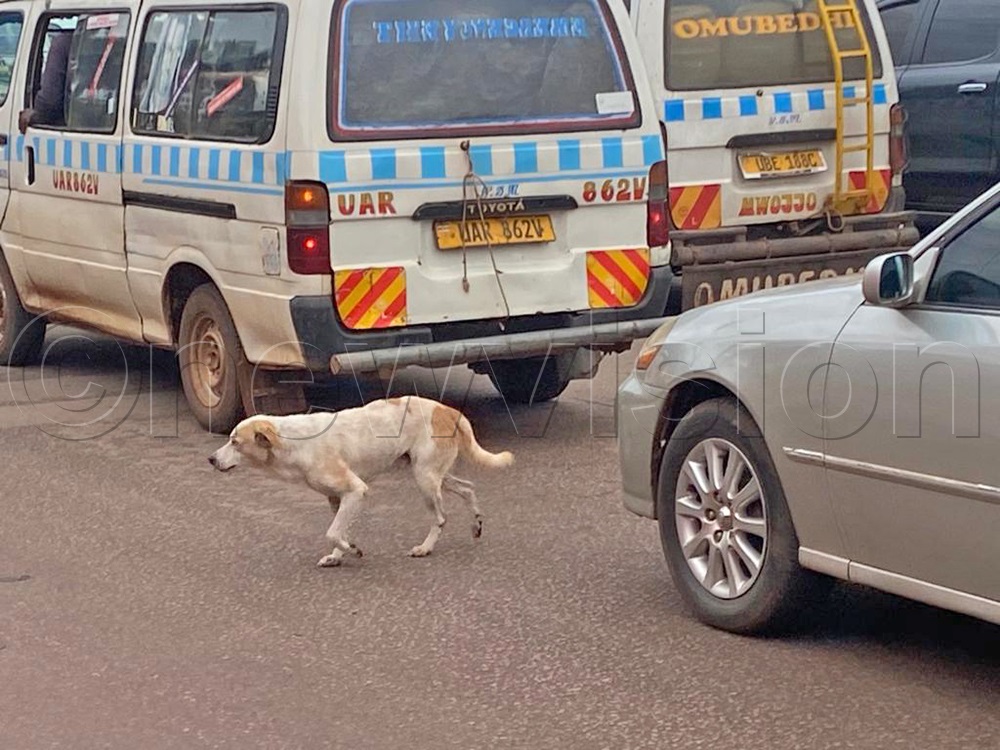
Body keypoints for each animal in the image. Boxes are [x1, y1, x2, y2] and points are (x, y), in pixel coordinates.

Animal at [208, 396, 513, 567]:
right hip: (433, 474)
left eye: (235, 442)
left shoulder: (356, 491)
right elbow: (338, 530)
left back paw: (425, 548)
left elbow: (332, 532)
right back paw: (476, 524)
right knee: (468, 488)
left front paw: (352, 550)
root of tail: (447, 409)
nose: (211, 459)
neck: (293, 442)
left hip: (425, 478)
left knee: (440, 518)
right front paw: (338, 554)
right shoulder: (337, 499)